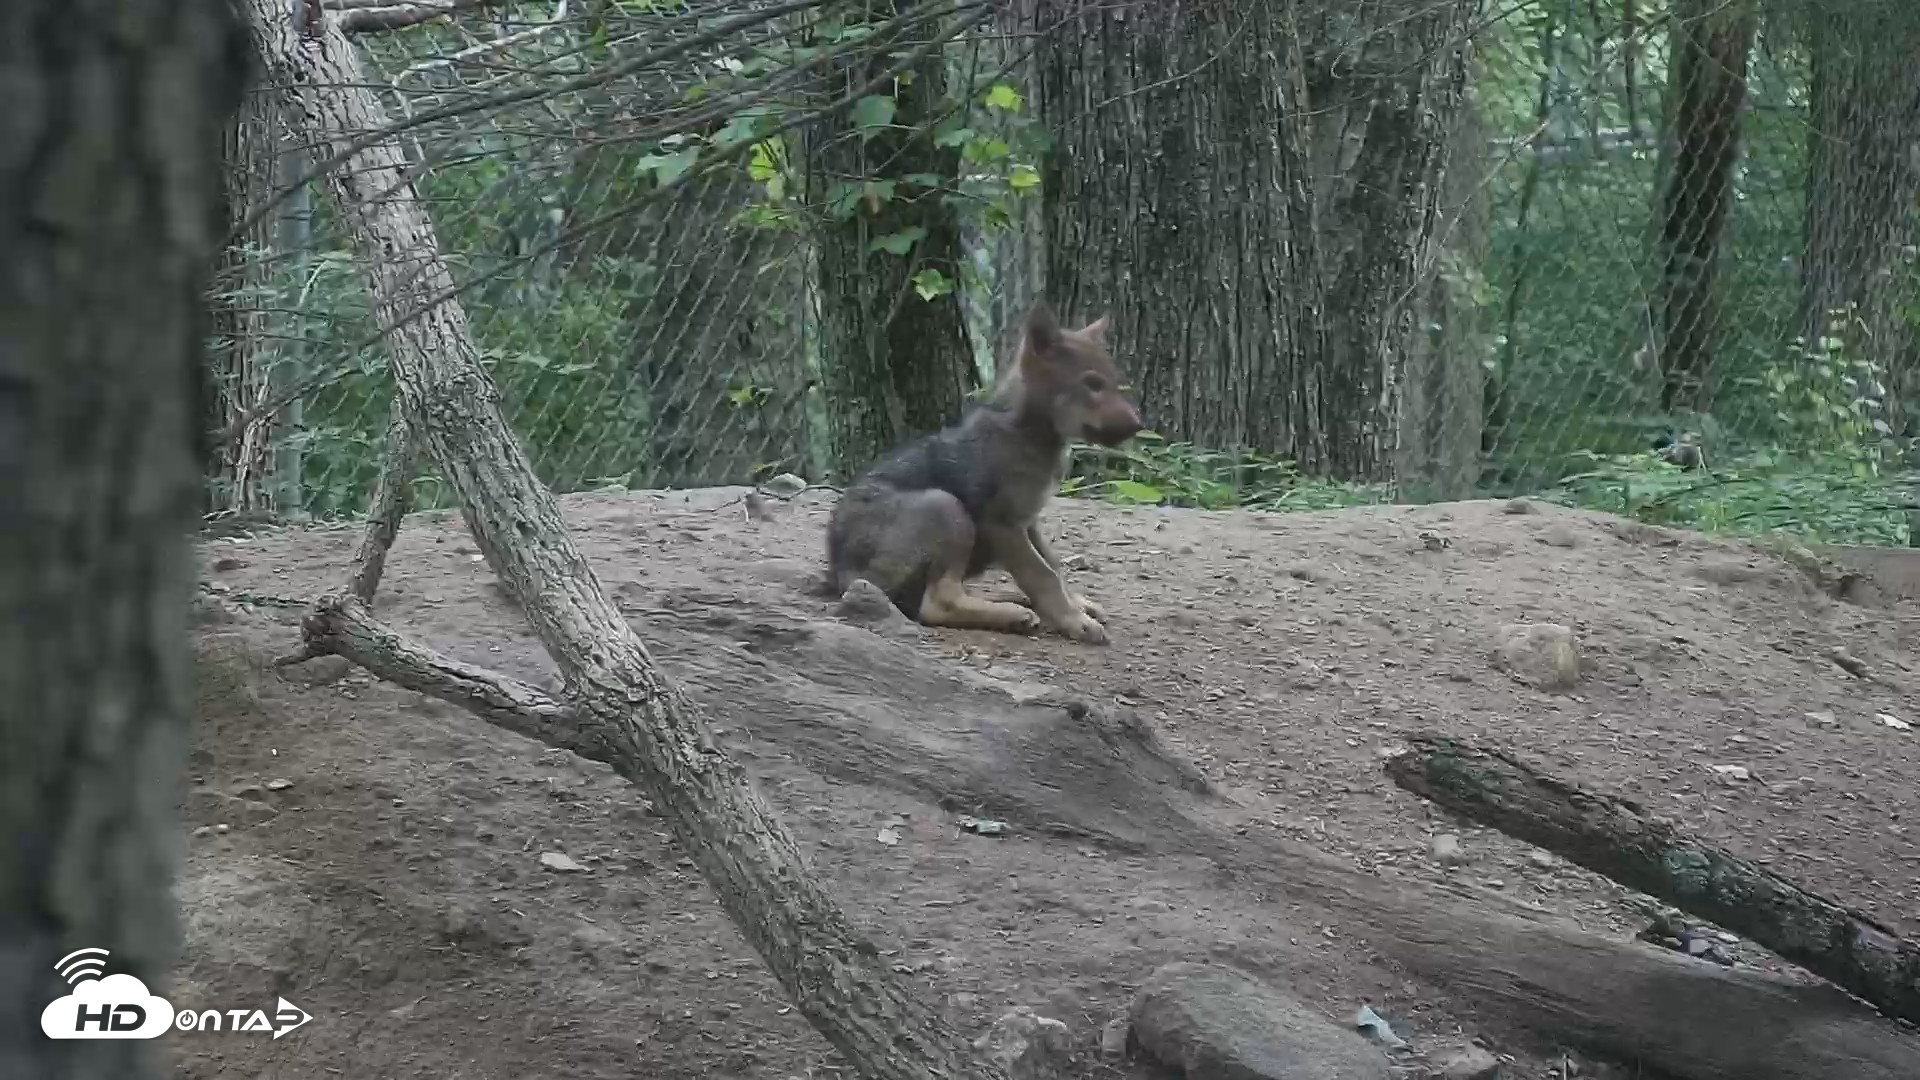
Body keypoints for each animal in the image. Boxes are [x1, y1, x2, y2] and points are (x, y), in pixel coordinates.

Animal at [824, 301, 1144, 644]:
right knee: (937, 602)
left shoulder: (1028, 520)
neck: (1029, 436)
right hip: (944, 504)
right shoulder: (1002, 523)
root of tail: (839, 572)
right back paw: (1013, 615)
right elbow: (1041, 574)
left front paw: (1075, 606)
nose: (1138, 425)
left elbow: (1054, 566)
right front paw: (1074, 621)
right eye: (1092, 384)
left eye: (1114, 382)